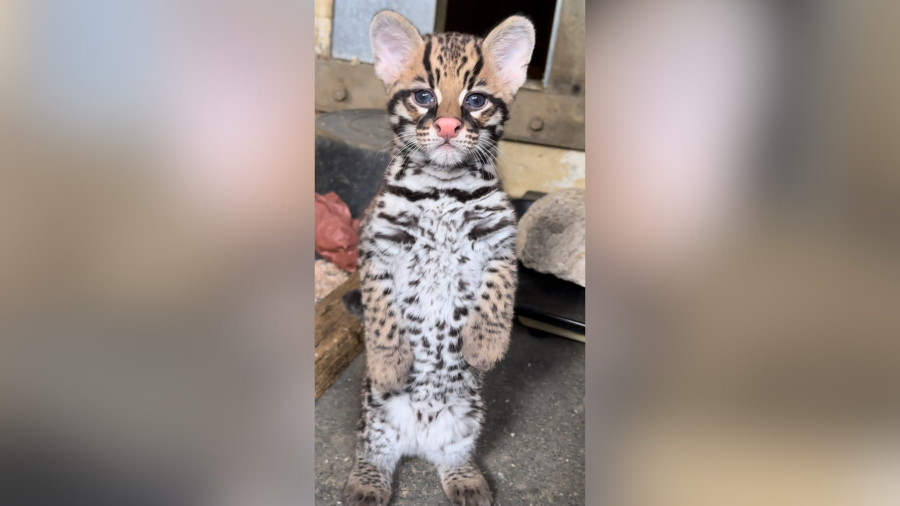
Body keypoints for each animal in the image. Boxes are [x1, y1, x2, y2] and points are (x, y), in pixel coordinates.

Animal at [342, 10, 532, 506]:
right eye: (424, 96)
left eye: (476, 100)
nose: (447, 126)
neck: (443, 188)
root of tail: (418, 441)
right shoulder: (376, 245)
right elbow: (381, 311)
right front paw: (389, 362)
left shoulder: (501, 241)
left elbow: (499, 292)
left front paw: (485, 345)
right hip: (374, 419)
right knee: (372, 454)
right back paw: (365, 484)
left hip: (467, 419)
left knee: (454, 457)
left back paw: (466, 480)